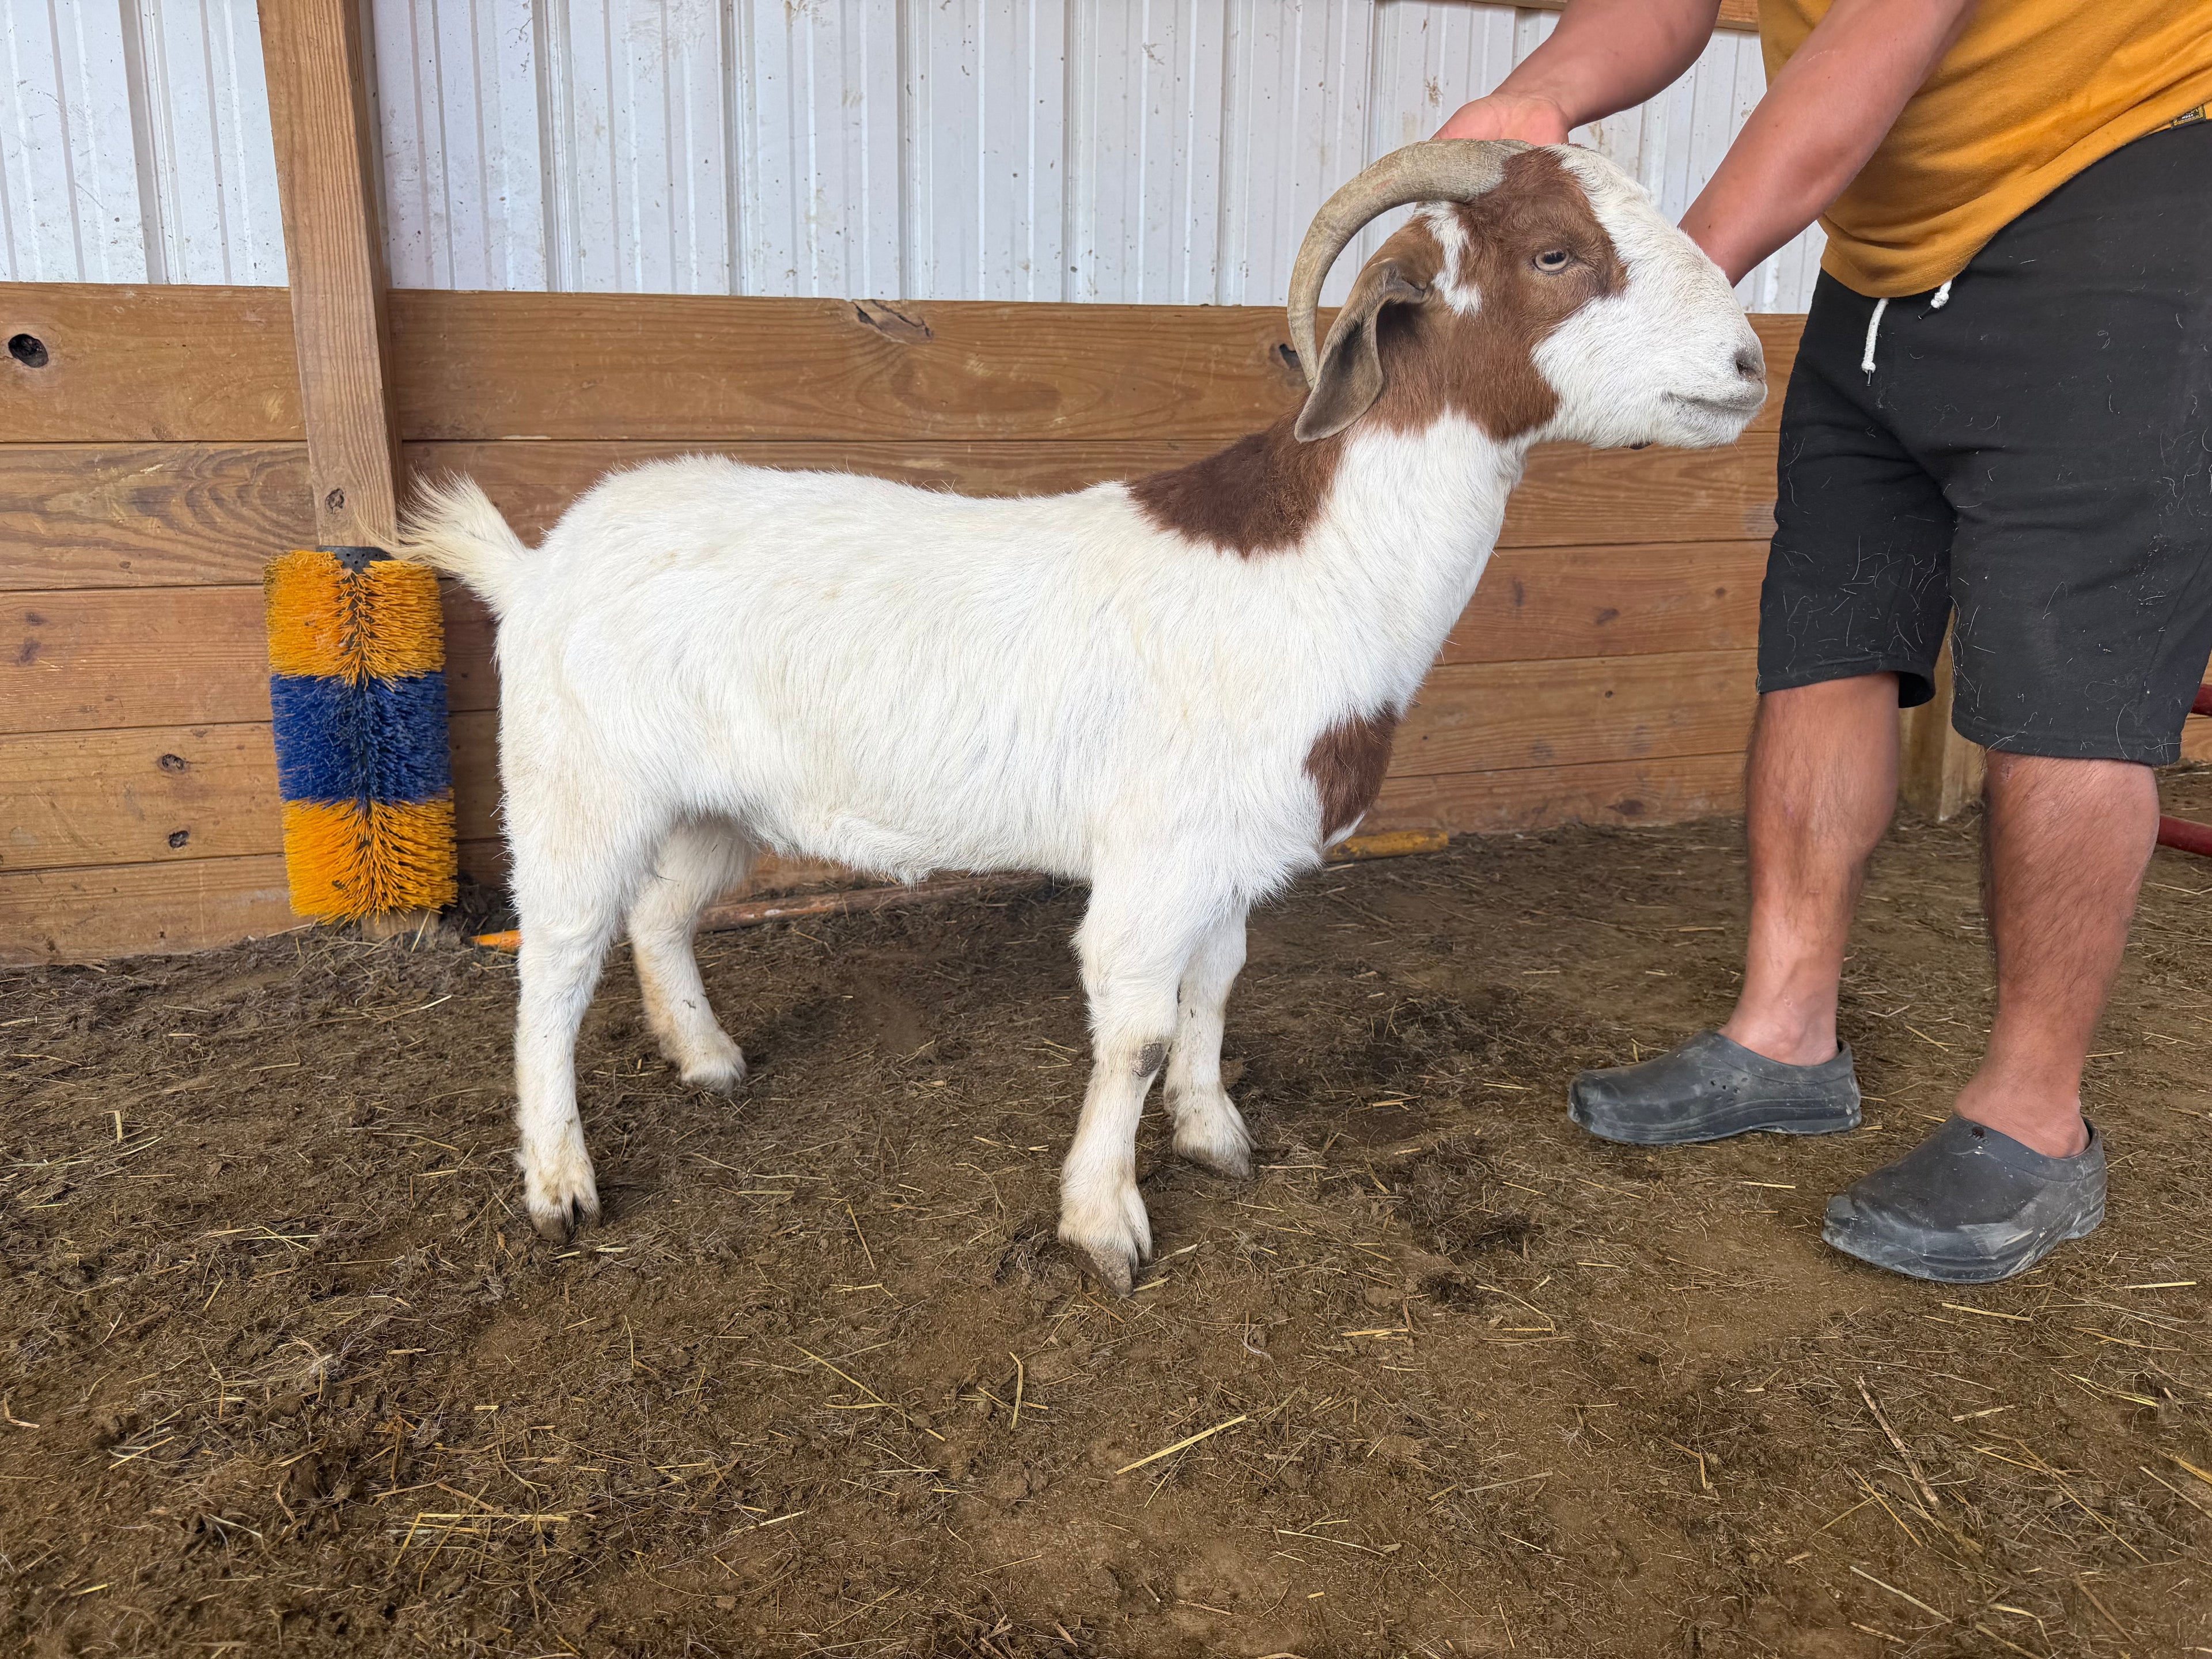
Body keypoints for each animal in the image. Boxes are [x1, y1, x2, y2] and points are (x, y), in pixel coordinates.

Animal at [402, 140, 1765, 1291]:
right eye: (1555, 253)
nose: (1750, 367)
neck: (1322, 566)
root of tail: (535, 564)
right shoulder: (1157, 860)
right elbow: (1139, 1030)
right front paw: (1105, 1222)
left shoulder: (1233, 852)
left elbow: (1217, 991)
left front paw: (1216, 1136)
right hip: (578, 785)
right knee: (555, 964)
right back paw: (561, 1184)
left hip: (714, 805)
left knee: (661, 916)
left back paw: (709, 1061)